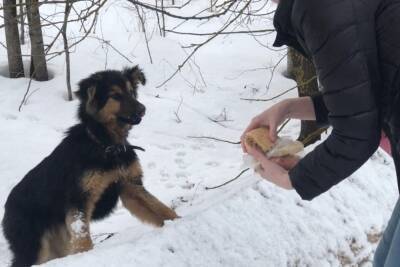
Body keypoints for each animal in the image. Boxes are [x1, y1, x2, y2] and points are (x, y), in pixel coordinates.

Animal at [1, 67, 177, 267]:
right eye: (115, 95)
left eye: (132, 92)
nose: (143, 109)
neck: (106, 145)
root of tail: (7, 208)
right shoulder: (79, 200)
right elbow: (83, 238)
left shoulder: (131, 187)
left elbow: (161, 209)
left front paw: (179, 221)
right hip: (35, 246)